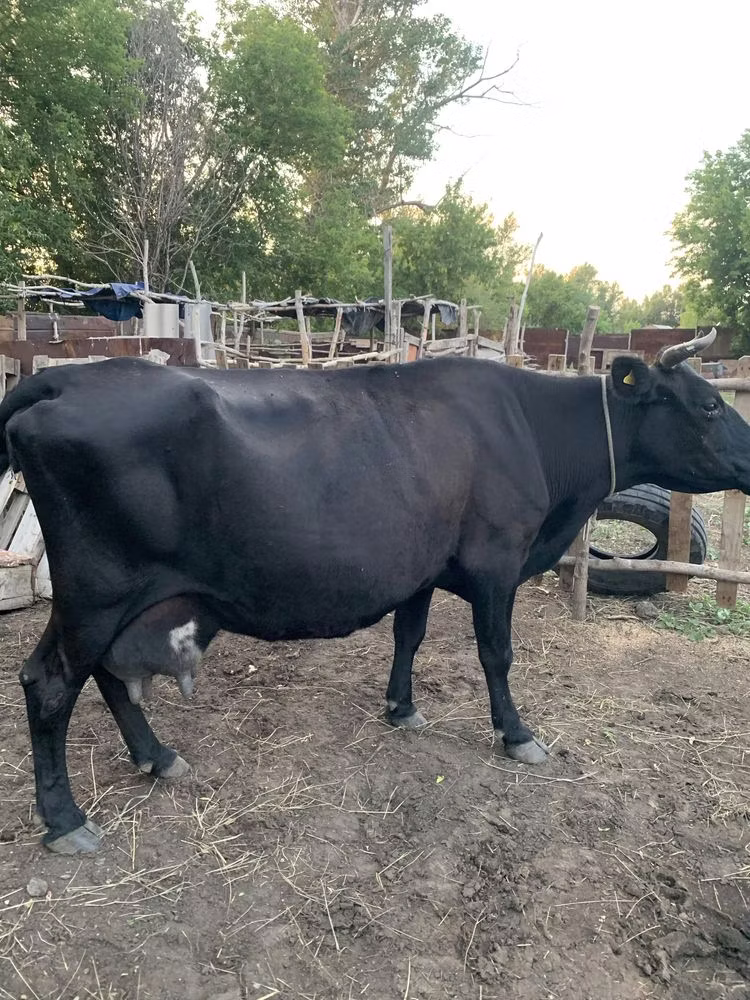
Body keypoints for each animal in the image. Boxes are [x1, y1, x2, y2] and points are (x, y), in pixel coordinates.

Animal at [1, 328, 748, 854]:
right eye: (710, 404)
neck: (534, 431)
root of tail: (62, 380)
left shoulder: (420, 565)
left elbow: (408, 634)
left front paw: (401, 707)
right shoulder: (496, 560)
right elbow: (497, 655)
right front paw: (516, 734)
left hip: (108, 599)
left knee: (101, 675)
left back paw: (157, 758)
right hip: (98, 590)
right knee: (50, 683)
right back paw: (66, 820)